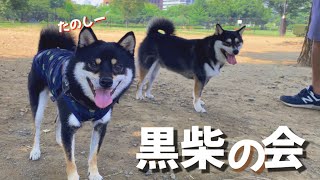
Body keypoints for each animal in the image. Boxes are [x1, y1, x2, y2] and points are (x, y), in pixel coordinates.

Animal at [27, 25, 136, 180]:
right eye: (93, 64)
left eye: (118, 66)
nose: (106, 82)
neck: (90, 105)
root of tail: (45, 49)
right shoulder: (69, 125)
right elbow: (70, 159)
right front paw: (73, 176)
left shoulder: (100, 125)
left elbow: (94, 154)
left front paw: (94, 174)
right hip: (38, 105)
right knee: (37, 128)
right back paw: (35, 151)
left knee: (58, 120)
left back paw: (60, 141)